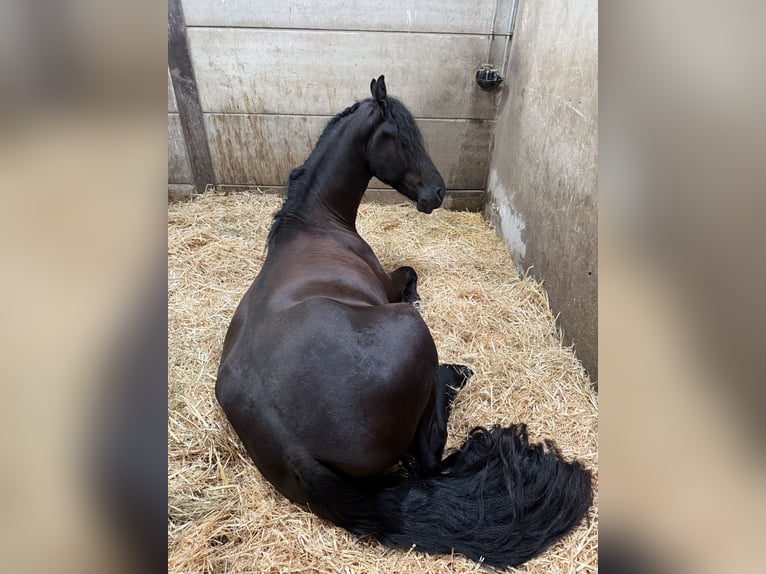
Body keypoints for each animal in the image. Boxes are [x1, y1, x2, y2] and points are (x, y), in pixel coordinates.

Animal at [215, 76, 592, 568]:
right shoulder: (390, 286)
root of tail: (294, 448)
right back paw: (453, 377)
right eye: (401, 139)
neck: (314, 224)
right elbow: (410, 273)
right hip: (412, 330)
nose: (438, 192)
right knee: (430, 458)